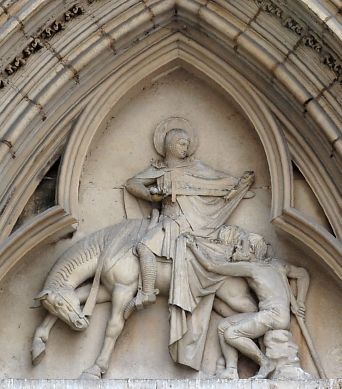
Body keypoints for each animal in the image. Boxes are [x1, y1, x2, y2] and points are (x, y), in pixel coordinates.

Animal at [32, 217, 256, 378]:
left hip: (233, 295)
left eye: (59, 303)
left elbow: (113, 327)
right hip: (220, 300)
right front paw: (38, 345)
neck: (109, 247)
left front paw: (96, 369)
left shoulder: (123, 289)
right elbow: (78, 299)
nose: (79, 325)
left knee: (254, 308)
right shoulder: (107, 289)